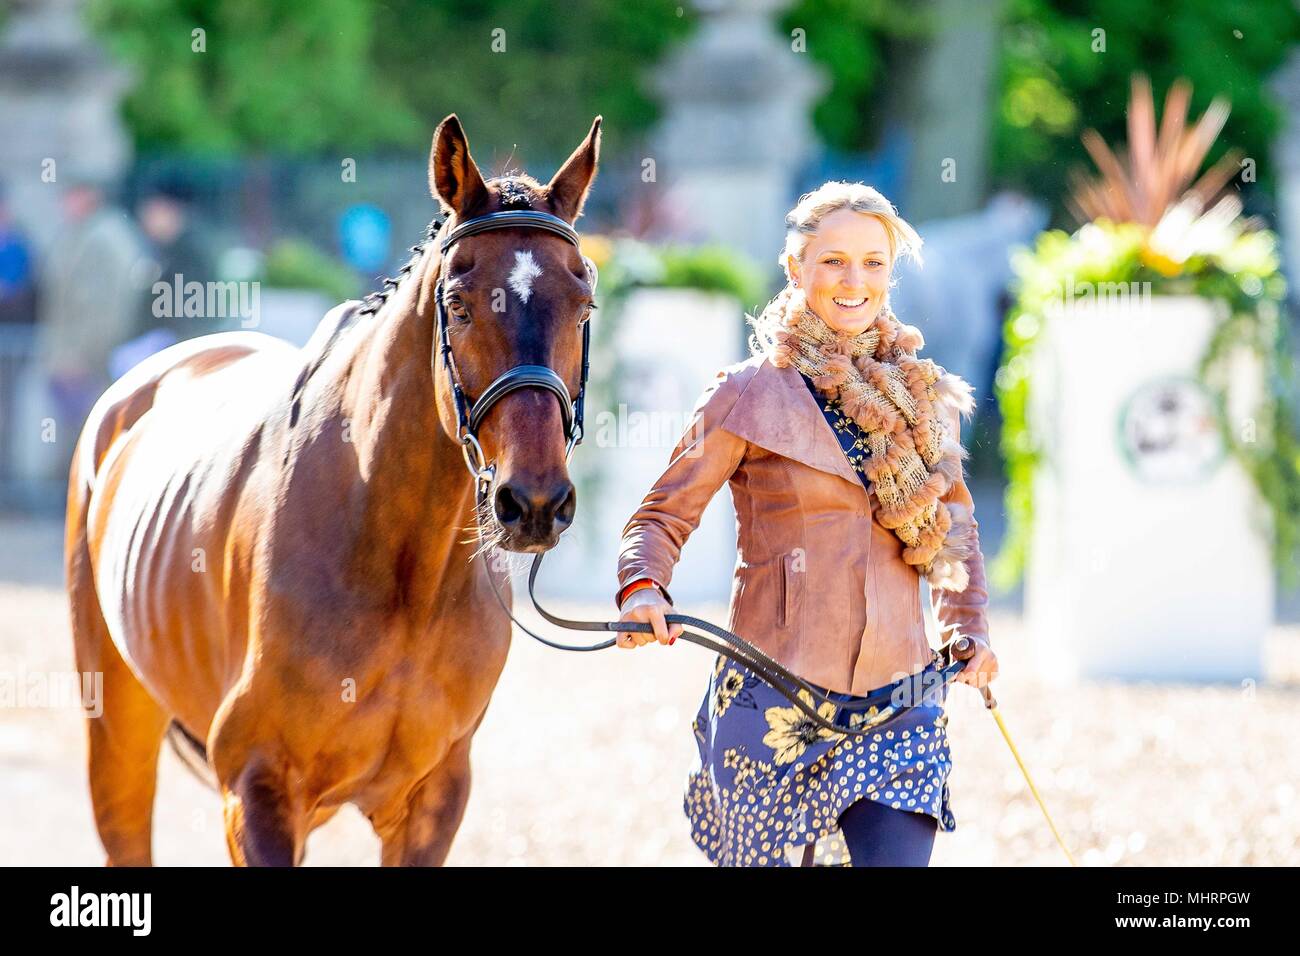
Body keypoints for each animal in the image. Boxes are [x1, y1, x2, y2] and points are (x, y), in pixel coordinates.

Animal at [64, 114, 602, 865]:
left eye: (583, 305)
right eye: (460, 305)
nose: (534, 504)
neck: (400, 570)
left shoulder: (434, 801)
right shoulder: (258, 789)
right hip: (115, 729)